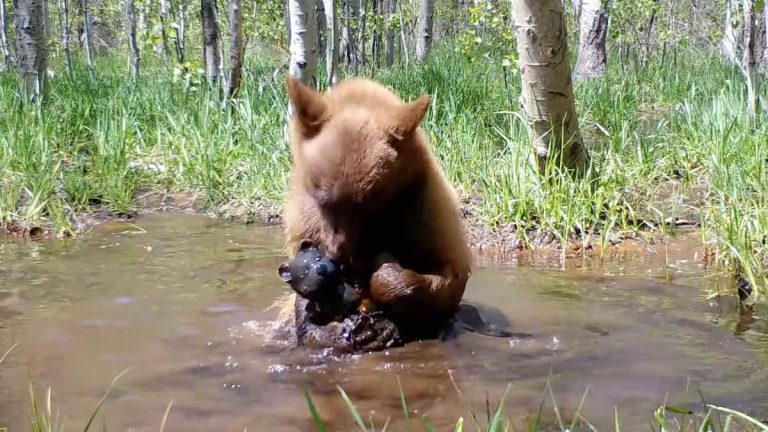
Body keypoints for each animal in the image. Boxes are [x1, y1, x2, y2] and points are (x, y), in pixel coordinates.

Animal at [278, 75, 473, 346]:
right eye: (322, 197)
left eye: (368, 204)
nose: (336, 254)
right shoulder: (306, 222)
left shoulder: (424, 209)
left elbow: (449, 274)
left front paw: (384, 273)